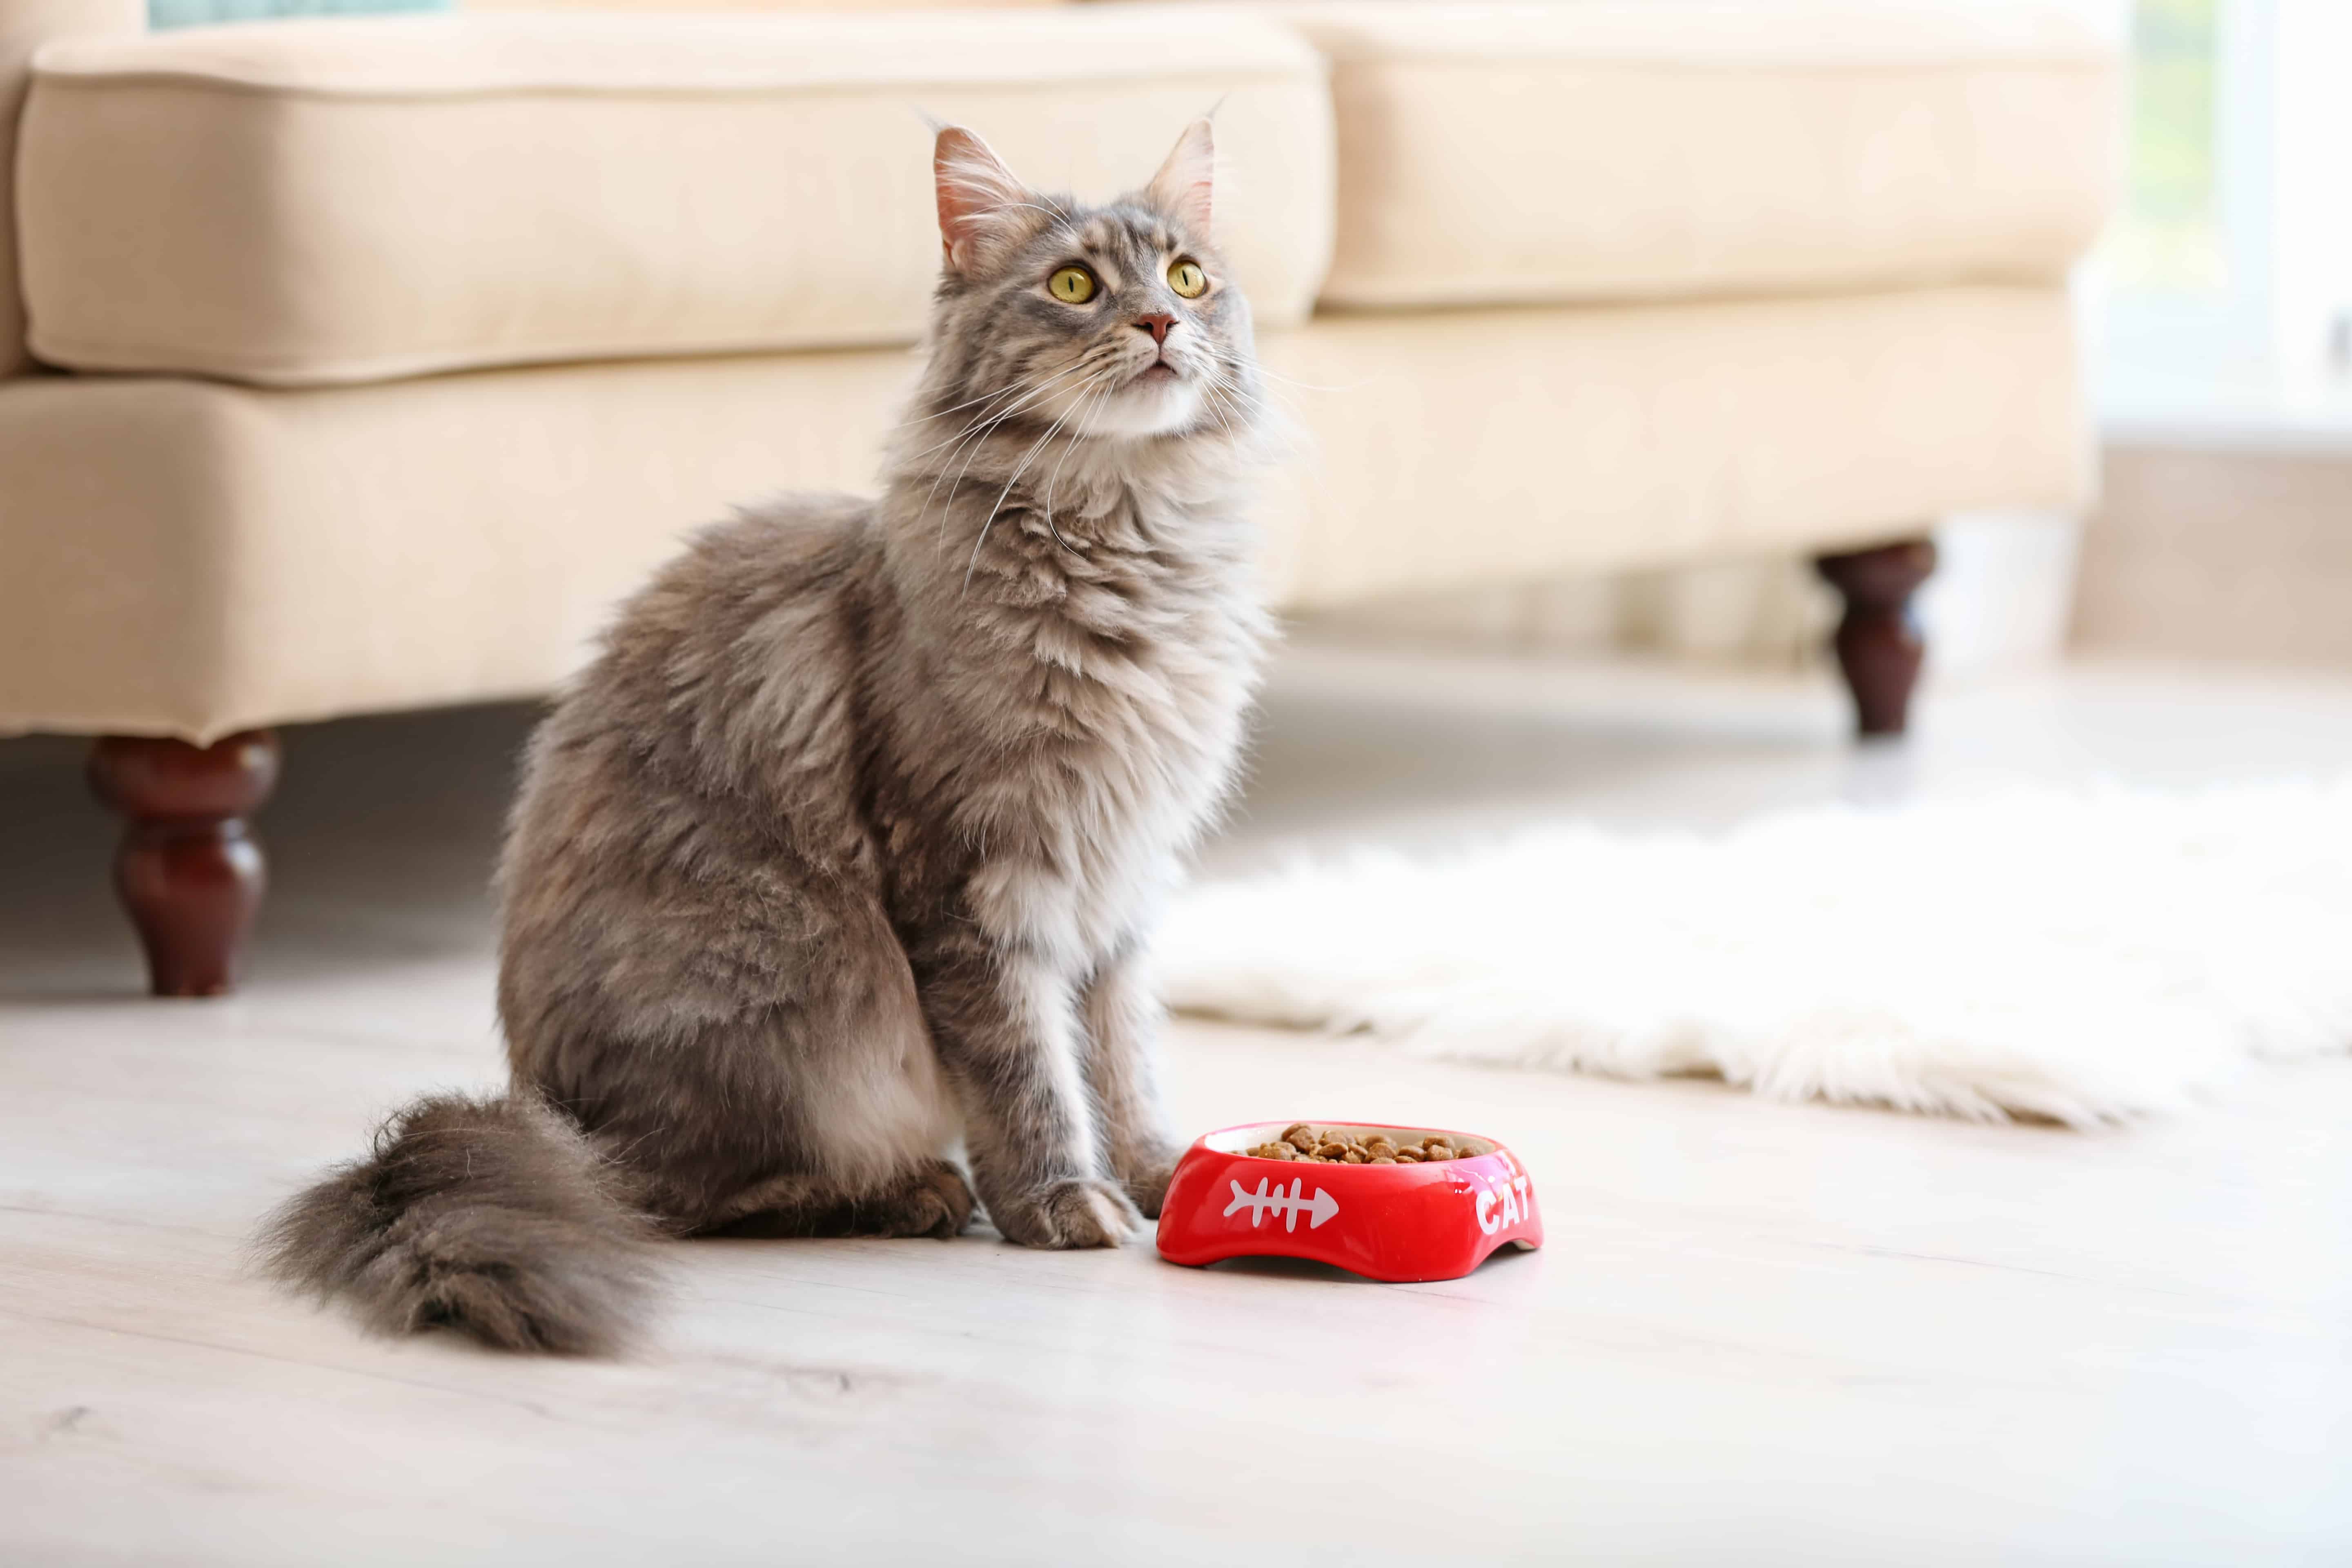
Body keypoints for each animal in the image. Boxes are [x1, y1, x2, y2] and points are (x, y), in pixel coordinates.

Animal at [262, 120, 1270, 1354]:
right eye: (1076, 286)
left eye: (1187, 278)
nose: (1162, 324)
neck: (1128, 538)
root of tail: (538, 1111)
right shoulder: (974, 883)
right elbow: (1029, 1068)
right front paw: (1061, 1203)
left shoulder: (1120, 884)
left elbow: (1123, 1060)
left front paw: (1159, 1175)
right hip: (796, 988)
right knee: (669, 1195)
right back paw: (906, 1193)